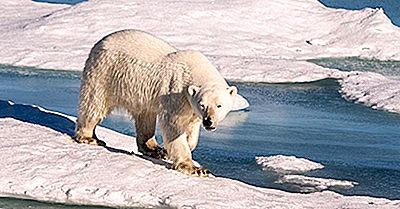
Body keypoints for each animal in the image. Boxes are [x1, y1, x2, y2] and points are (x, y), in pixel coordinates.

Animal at [75, 29, 238, 176]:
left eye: (219, 105)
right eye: (202, 105)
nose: (208, 121)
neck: (195, 70)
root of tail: (100, 42)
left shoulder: (190, 107)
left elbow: (191, 130)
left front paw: (169, 150)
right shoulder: (177, 94)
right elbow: (174, 126)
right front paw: (194, 168)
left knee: (145, 116)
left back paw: (153, 148)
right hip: (105, 73)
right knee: (94, 103)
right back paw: (90, 137)